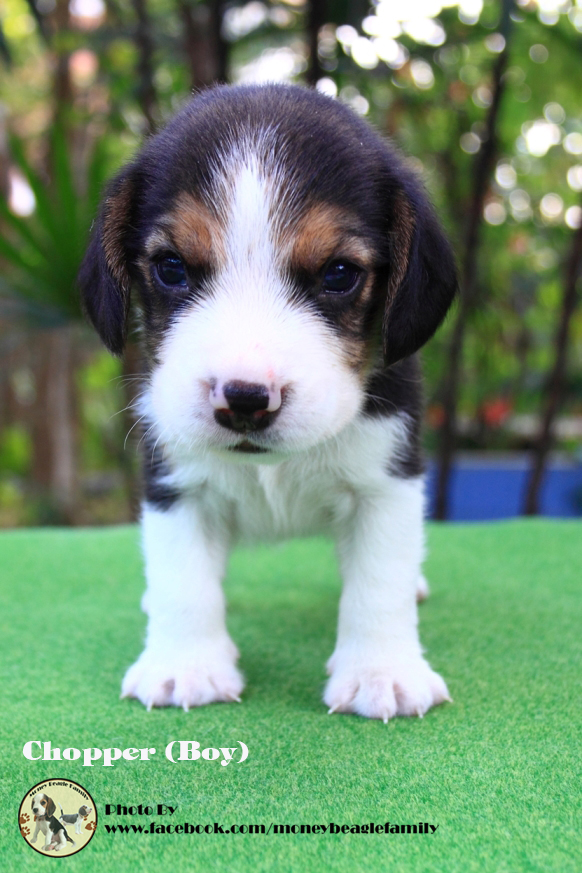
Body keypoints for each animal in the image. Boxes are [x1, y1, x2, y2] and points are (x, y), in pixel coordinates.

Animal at [79, 84, 457, 721]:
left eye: (339, 273)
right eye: (171, 267)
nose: (246, 399)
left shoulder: (387, 482)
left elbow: (380, 581)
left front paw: (381, 672)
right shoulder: (175, 485)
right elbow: (184, 579)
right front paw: (186, 665)